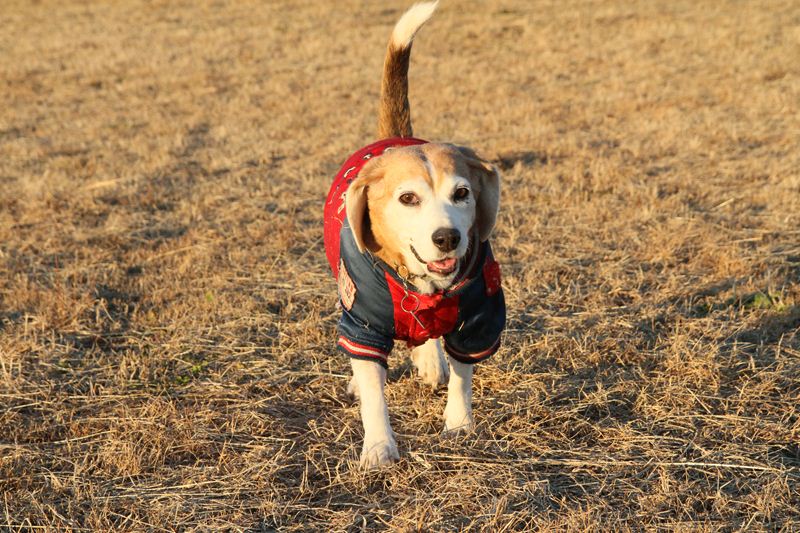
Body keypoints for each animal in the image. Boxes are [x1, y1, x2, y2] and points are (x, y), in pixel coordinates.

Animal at [322, 1, 505, 467]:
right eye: (408, 198)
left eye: (462, 193)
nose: (447, 238)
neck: (422, 285)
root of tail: (397, 137)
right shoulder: (362, 321)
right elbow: (373, 391)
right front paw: (378, 448)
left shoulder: (477, 317)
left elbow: (462, 374)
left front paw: (459, 425)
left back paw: (429, 361)